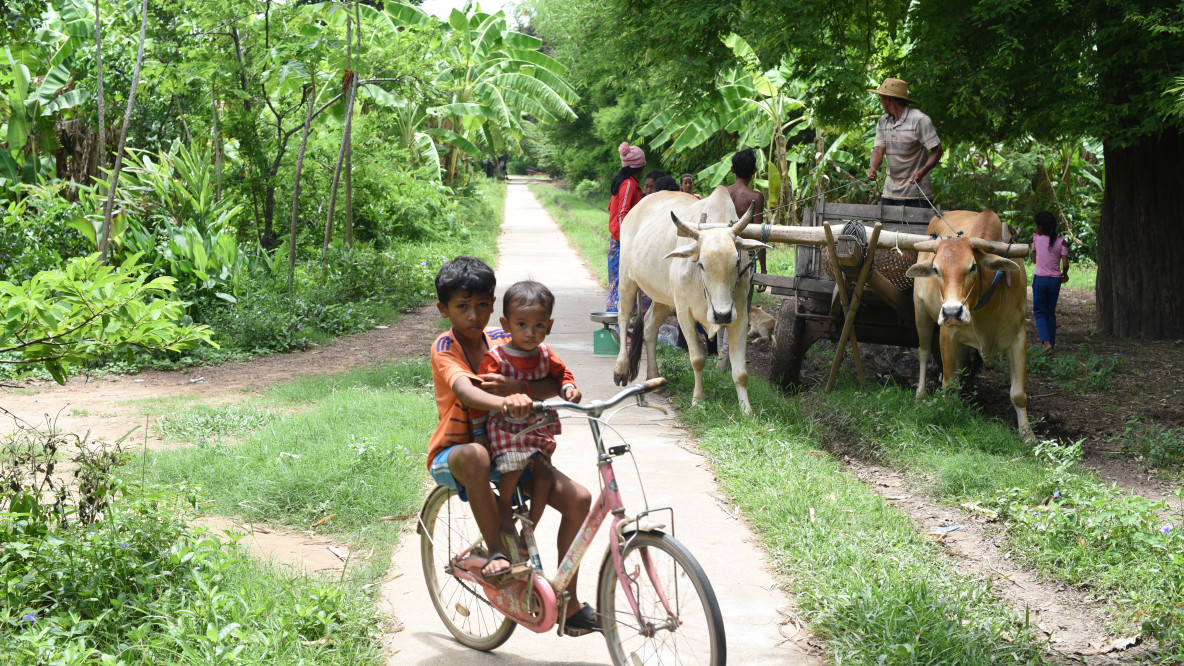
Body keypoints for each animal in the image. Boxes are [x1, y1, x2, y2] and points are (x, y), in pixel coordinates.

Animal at [899, 207, 1032, 436]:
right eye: (936, 269)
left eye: (973, 267)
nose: (952, 312)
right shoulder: (948, 335)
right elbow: (949, 382)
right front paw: (946, 413)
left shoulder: (1018, 338)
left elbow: (1018, 394)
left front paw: (1027, 434)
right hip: (921, 312)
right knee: (923, 353)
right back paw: (920, 394)